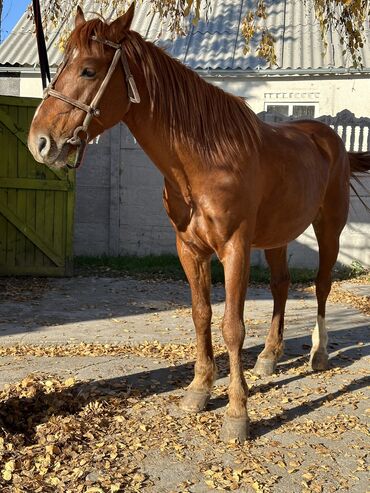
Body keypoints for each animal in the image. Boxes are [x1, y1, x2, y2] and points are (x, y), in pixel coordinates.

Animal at [26, 4, 370, 442]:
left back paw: (319, 353)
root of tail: (329, 138)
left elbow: (232, 327)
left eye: (88, 70)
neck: (207, 160)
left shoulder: (235, 248)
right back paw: (269, 357)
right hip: (277, 236)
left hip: (330, 226)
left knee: (322, 285)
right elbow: (201, 315)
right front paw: (199, 390)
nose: (39, 142)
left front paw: (237, 413)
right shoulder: (189, 249)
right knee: (281, 285)